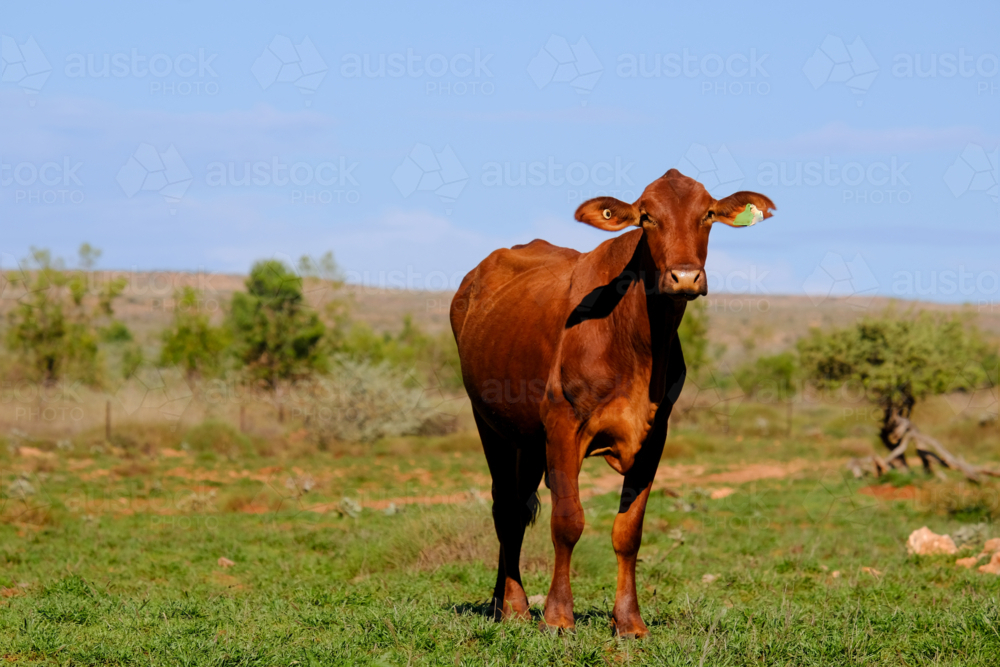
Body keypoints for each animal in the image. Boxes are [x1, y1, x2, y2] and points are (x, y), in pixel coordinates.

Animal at [450, 168, 776, 636]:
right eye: (647, 217)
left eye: (708, 214)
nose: (684, 277)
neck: (638, 341)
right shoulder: (564, 425)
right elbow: (568, 521)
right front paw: (558, 616)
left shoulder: (654, 435)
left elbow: (629, 531)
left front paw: (629, 621)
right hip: (491, 425)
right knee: (505, 508)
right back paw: (512, 604)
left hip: (527, 439)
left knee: (517, 507)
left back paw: (503, 601)